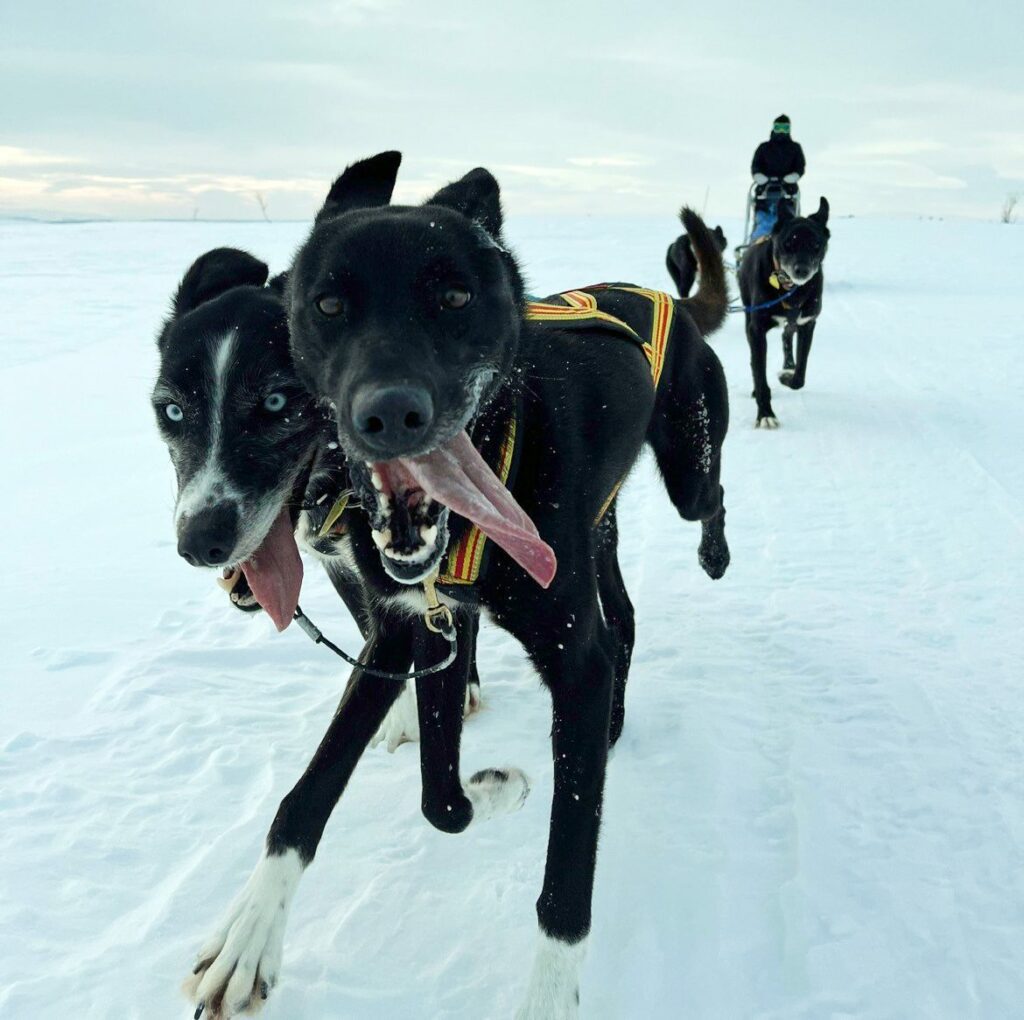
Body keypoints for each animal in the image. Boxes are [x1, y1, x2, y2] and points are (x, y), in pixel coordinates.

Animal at [180, 153, 733, 1020]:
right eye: (328, 303)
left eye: (454, 297)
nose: (389, 413)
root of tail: (664, 297)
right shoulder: (414, 627)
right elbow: (384, 797)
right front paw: (251, 933)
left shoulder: (567, 656)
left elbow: (565, 885)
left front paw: (549, 995)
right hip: (597, 528)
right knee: (623, 617)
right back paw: (607, 725)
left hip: (686, 470)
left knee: (701, 511)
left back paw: (710, 559)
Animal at [737, 195, 831, 426]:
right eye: (788, 243)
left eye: (816, 244)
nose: (802, 270)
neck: (789, 289)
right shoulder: (757, 330)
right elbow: (760, 373)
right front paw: (765, 414)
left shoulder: (807, 324)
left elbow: (800, 375)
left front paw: (787, 376)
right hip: (748, 316)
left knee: (787, 336)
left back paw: (788, 363)